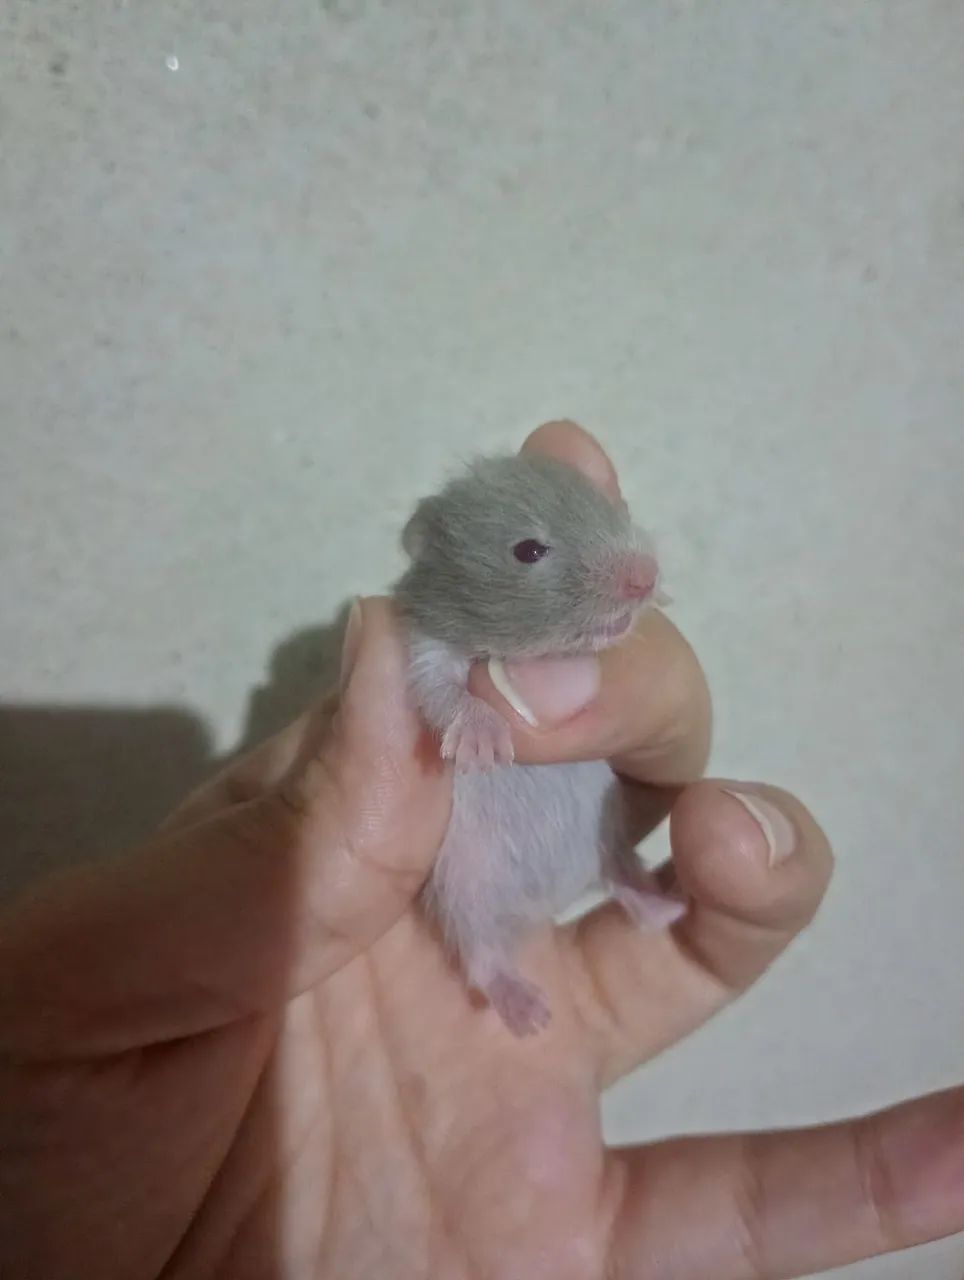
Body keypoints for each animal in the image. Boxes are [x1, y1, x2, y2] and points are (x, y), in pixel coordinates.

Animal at [393, 453, 686, 1036]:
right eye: (528, 551)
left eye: (612, 508)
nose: (644, 576)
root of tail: (549, 904)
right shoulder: (426, 651)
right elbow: (445, 693)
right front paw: (482, 743)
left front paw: (663, 597)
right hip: (460, 889)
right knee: (481, 955)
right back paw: (526, 1011)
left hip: (607, 830)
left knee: (619, 874)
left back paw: (662, 907)